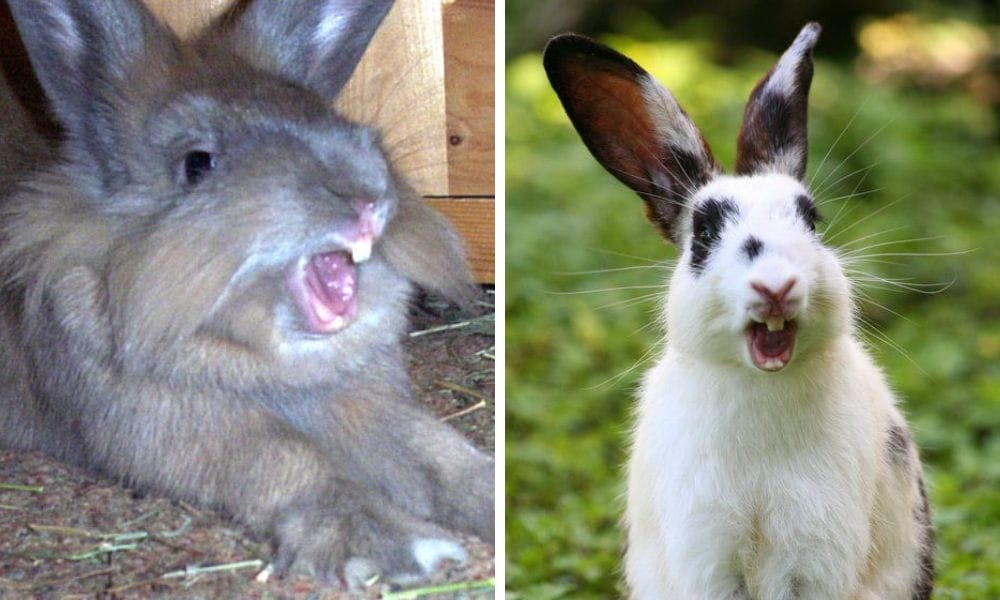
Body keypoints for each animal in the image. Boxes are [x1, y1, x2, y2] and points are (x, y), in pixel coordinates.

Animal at [0, 0, 493, 590]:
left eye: (335, 121)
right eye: (198, 163)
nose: (366, 198)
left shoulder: (359, 401)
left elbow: (431, 450)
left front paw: (490, 499)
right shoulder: (176, 425)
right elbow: (290, 462)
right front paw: (399, 549)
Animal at [544, 23, 934, 599]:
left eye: (811, 221)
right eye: (705, 233)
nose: (776, 285)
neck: (760, 386)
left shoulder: (814, 552)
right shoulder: (708, 550)